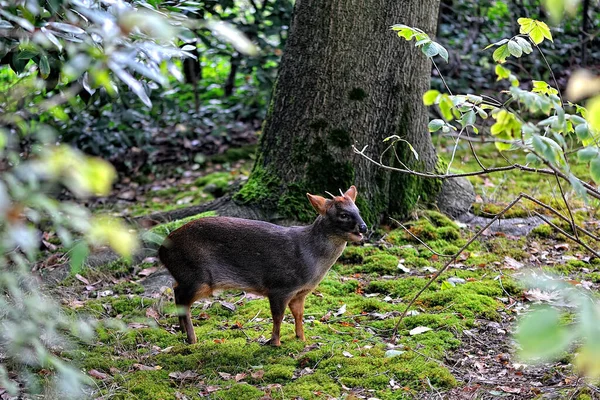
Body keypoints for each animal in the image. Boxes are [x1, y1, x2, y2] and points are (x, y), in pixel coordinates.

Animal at [157, 186, 368, 346]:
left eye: (358, 210)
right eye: (343, 214)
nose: (364, 227)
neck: (310, 257)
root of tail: (161, 250)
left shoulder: (300, 293)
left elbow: (299, 315)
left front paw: (301, 338)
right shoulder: (279, 287)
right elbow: (278, 317)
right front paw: (274, 343)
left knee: (175, 290)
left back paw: (182, 331)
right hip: (198, 276)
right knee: (181, 297)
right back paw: (192, 338)